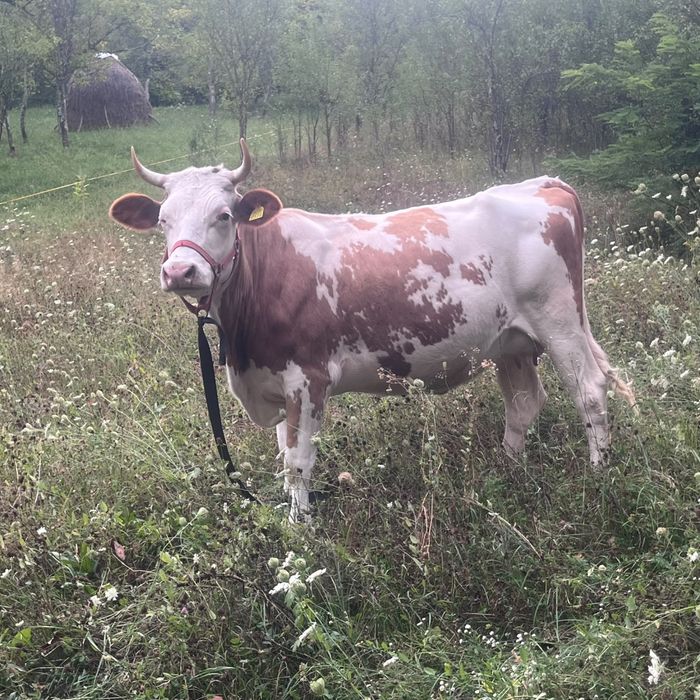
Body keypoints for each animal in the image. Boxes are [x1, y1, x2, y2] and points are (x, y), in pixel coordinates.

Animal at [109, 139, 635, 522]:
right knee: (525, 402)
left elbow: (299, 462)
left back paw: (598, 476)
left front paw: (301, 532)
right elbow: (283, 458)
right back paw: (508, 470)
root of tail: (544, 183)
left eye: (223, 216)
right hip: (511, 342)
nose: (180, 271)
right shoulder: (273, 378)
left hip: (560, 321)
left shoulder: (309, 378)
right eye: (162, 221)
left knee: (589, 391)